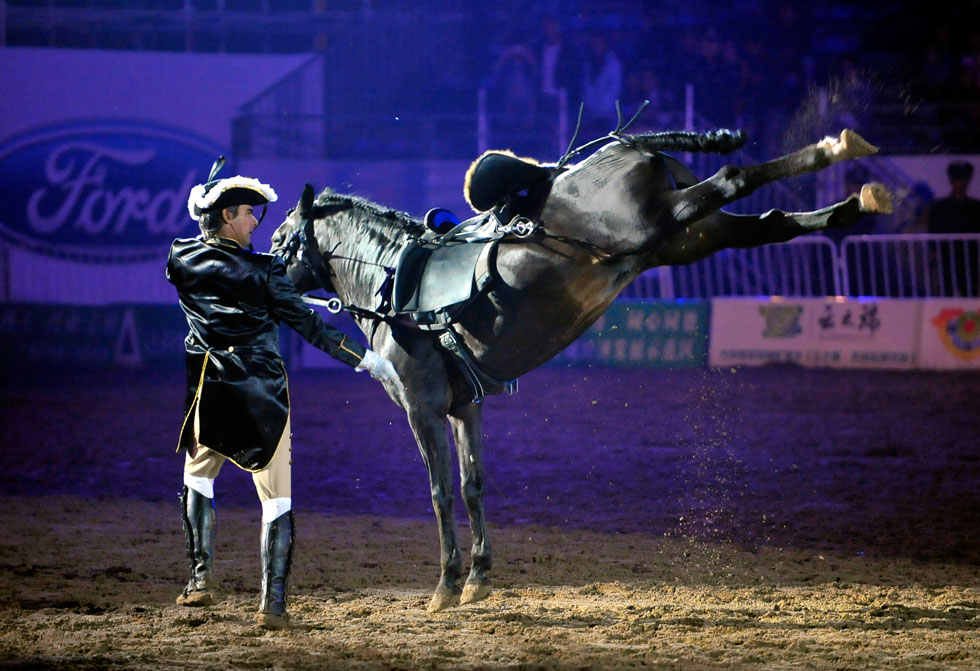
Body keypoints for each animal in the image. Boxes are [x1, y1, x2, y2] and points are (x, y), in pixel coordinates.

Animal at [266, 127, 888, 616]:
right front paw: (478, 577)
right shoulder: (467, 406)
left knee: (734, 176)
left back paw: (833, 153)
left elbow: (441, 491)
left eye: (279, 237)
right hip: (692, 236)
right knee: (774, 222)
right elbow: (472, 485)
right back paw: (856, 198)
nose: (263, 269)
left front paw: (445, 586)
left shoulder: (423, 408)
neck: (391, 279)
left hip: (657, 222)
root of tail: (624, 148)